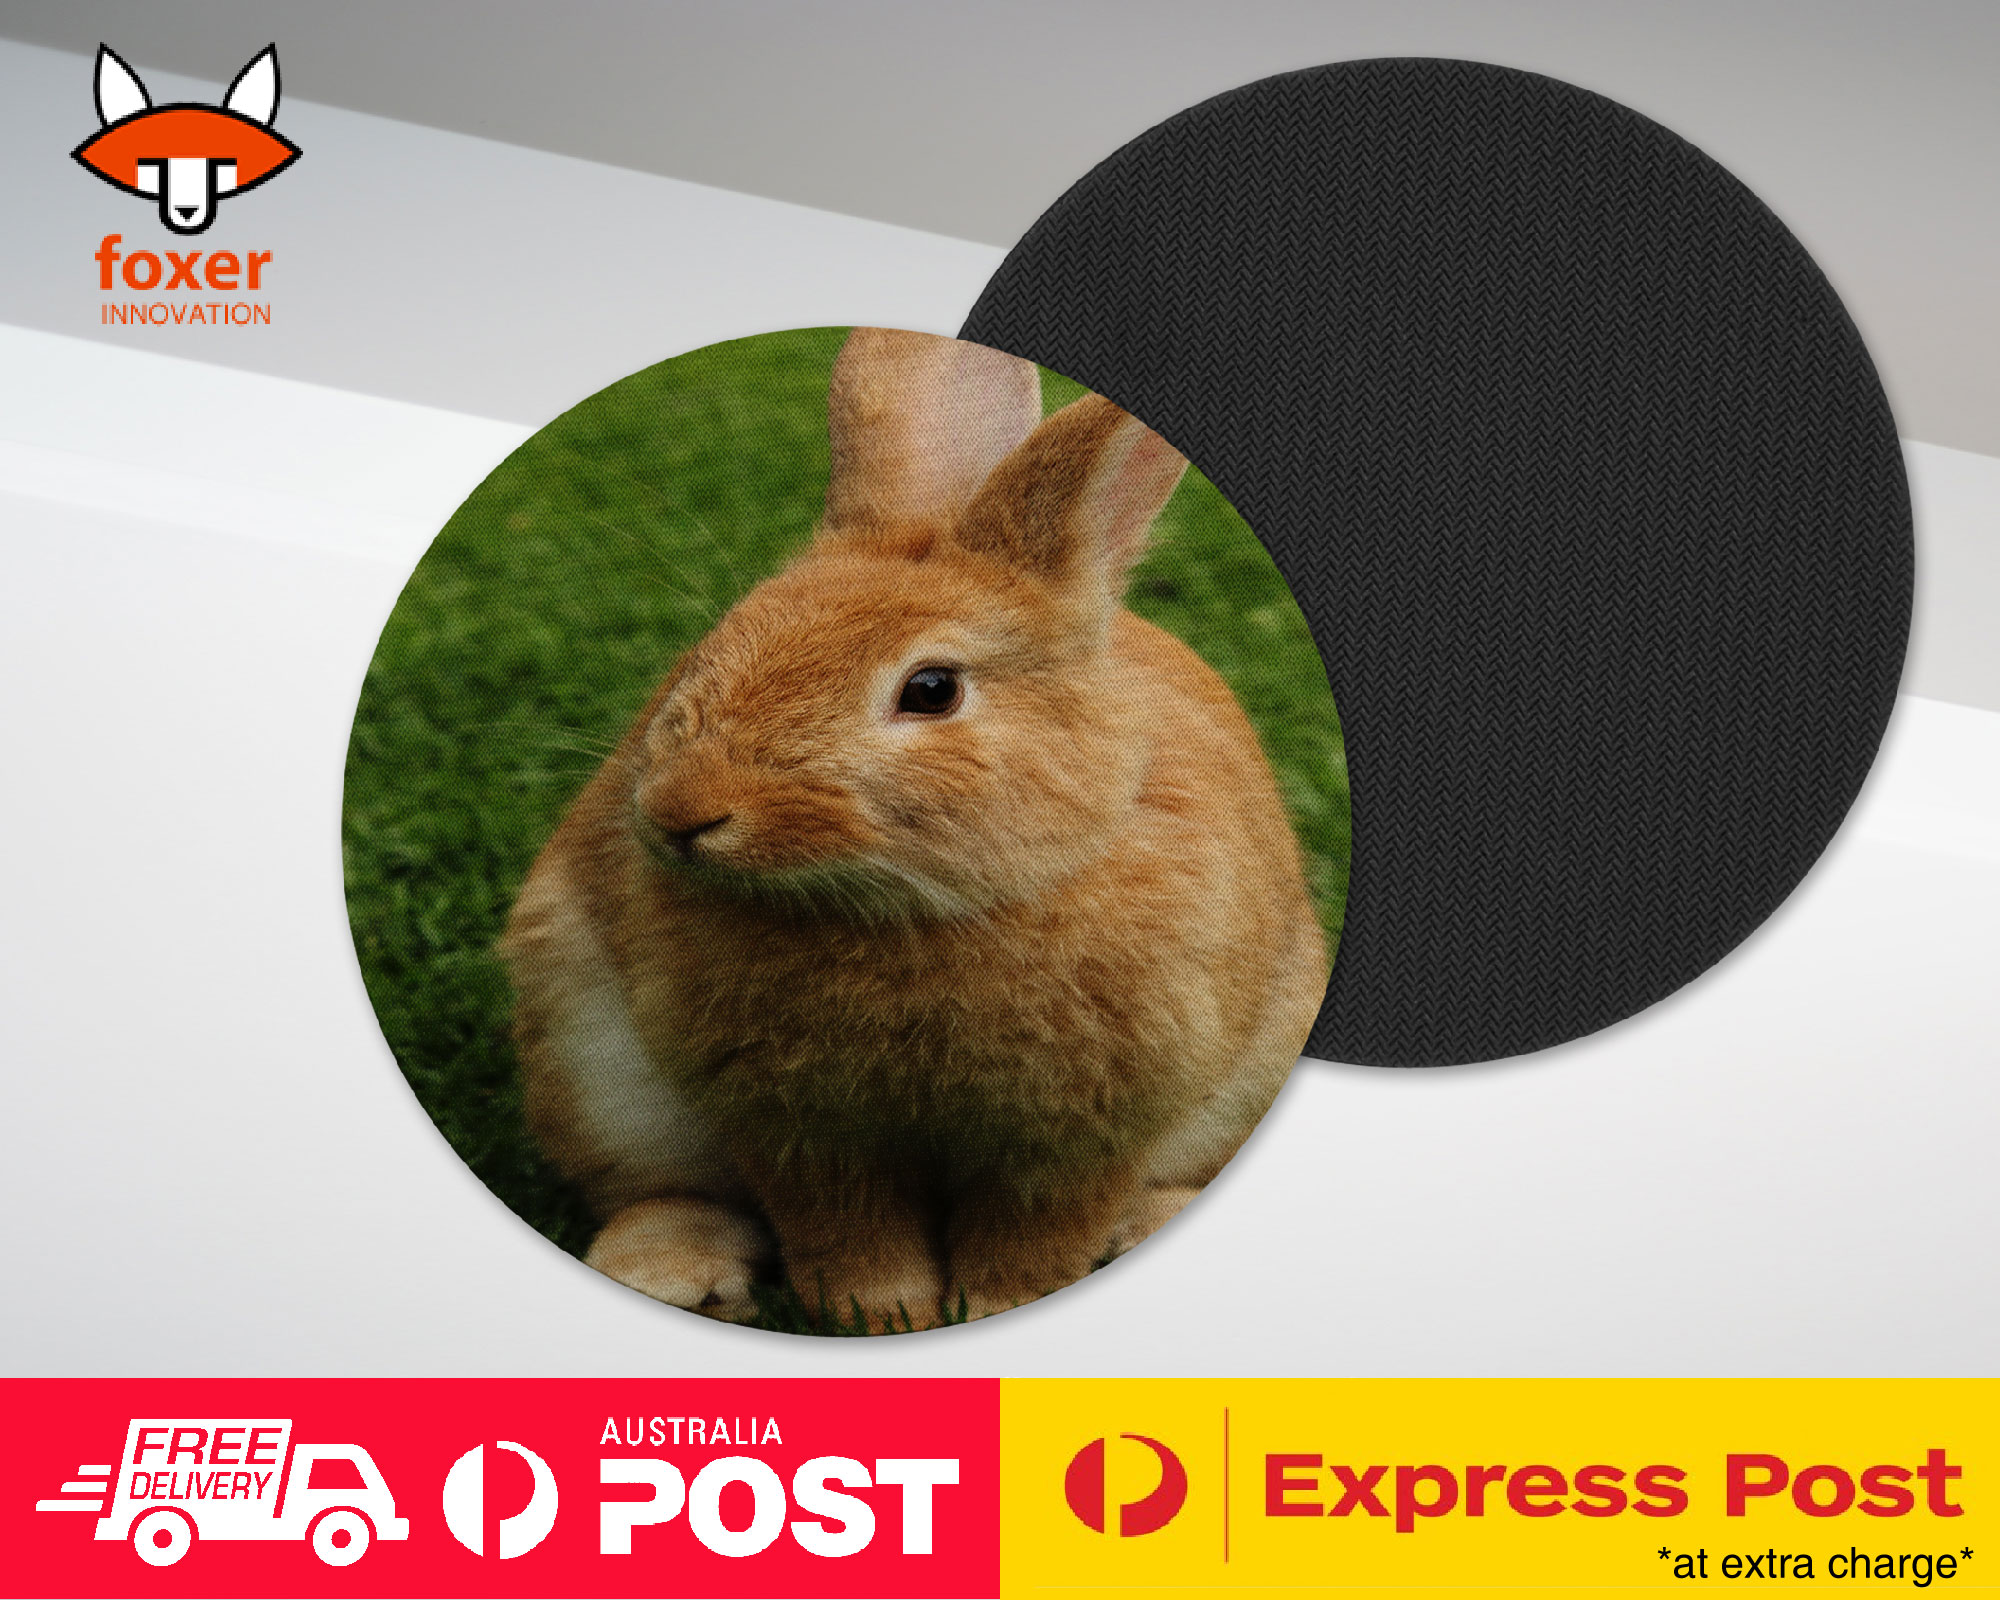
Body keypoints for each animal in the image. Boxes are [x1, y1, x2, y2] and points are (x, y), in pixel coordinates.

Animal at [500, 328, 1330, 1330]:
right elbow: (849, 1232)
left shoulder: (1081, 1135)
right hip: (592, 1066)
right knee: (663, 1191)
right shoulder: (800, 1132)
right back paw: (671, 1276)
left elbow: (1034, 1235)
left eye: (931, 690)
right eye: (713, 647)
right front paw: (884, 1316)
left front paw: (996, 1306)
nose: (682, 813)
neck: (921, 910)